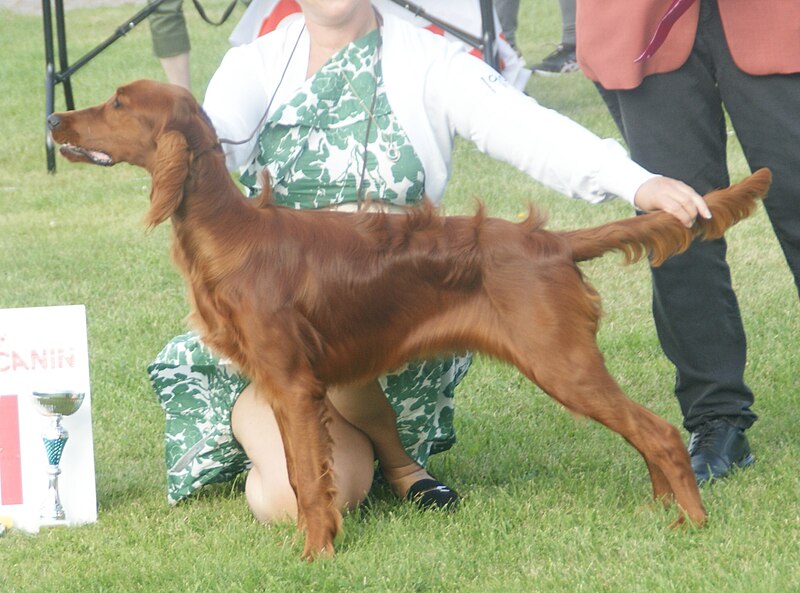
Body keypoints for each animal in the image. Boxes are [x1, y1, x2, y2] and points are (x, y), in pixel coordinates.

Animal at [48, 81, 768, 556]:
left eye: (118, 104)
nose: (54, 116)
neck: (230, 233)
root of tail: (549, 242)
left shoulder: (292, 385)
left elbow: (309, 480)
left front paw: (316, 557)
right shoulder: (289, 389)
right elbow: (307, 476)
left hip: (561, 362)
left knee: (660, 432)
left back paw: (693, 523)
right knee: (644, 433)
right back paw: (662, 509)